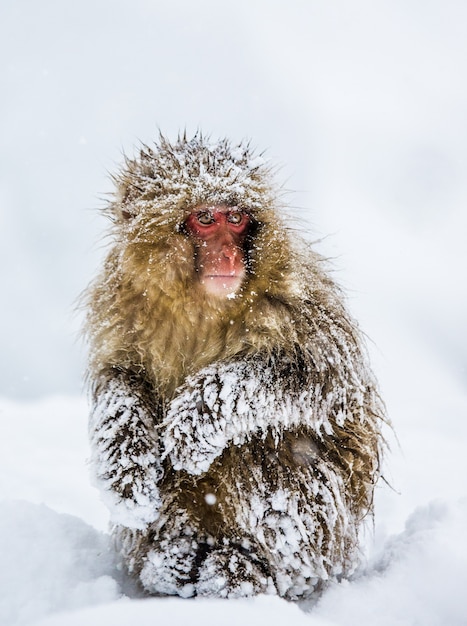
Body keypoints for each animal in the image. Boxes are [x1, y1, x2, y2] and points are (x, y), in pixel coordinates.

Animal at [82, 132, 386, 600]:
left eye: (238, 218)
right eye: (205, 219)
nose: (227, 255)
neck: (198, 304)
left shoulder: (296, 297)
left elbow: (323, 381)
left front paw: (195, 419)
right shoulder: (118, 303)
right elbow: (121, 377)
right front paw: (125, 469)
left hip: (322, 528)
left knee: (265, 449)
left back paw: (242, 569)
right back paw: (173, 559)